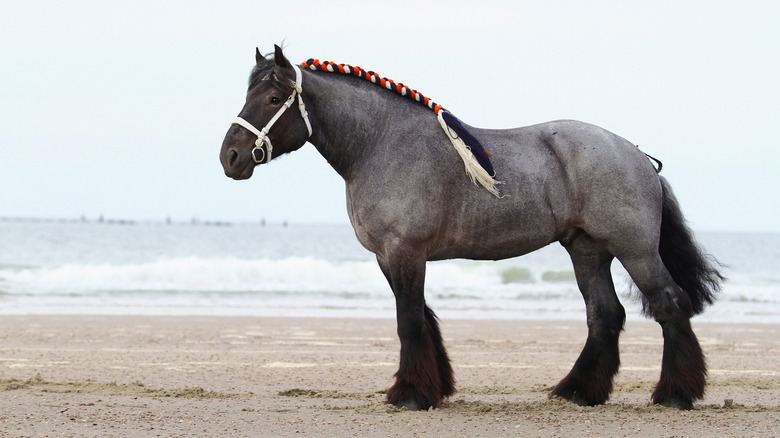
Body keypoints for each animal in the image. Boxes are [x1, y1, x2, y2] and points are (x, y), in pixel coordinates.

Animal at [216, 46, 724, 412]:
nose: (231, 157)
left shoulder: (405, 251)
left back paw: (675, 394)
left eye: (274, 98)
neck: (381, 143)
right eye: (248, 96)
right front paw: (433, 388)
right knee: (604, 315)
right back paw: (579, 391)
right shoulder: (389, 257)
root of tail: (637, 154)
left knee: (670, 304)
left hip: (635, 250)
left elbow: (409, 320)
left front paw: (410, 395)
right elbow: (423, 317)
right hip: (588, 251)